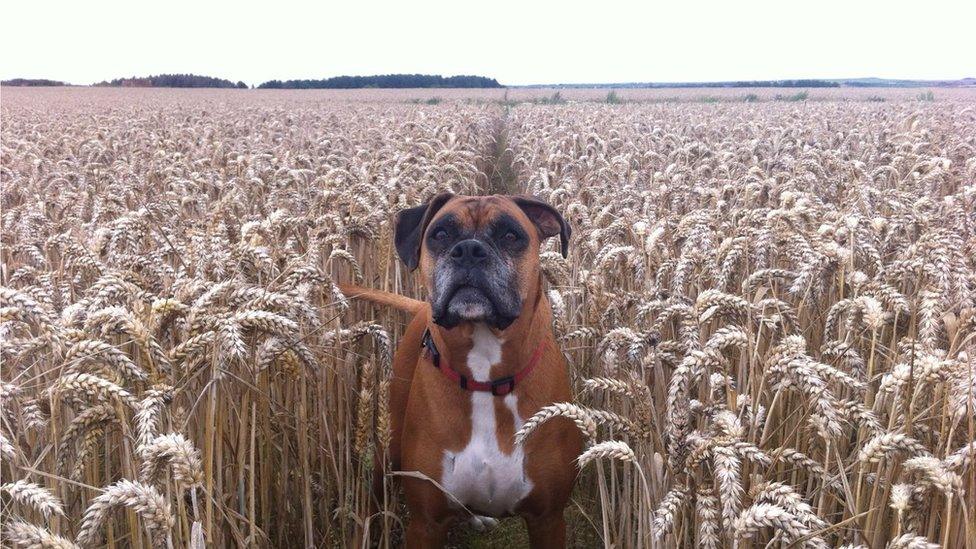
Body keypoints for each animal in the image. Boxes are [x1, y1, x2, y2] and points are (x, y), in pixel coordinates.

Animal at [344, 194, 584, 548]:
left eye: (510, 235)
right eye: (441, 234)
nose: (469, 250)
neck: (485, 378)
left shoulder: (548, 519)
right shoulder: (426, 523)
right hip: (389, 444)